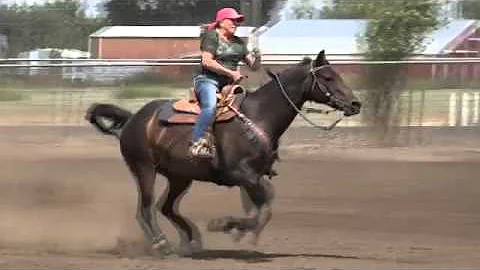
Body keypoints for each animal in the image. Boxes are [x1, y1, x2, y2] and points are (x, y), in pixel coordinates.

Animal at [85, 50, 360, 255]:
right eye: (328, 77)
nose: (356, 104)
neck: (259, 116)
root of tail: (134, 118)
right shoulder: (241, 174)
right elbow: (263, 207)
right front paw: (223, 225)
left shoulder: (255, 177)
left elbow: (264, 208)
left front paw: (238, 230)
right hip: (144, 169)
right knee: (146, 208)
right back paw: (162, 243)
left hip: (179, 176)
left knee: (166, 208)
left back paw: (192, 240)